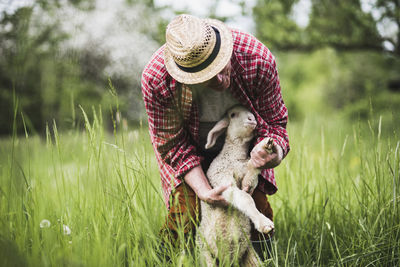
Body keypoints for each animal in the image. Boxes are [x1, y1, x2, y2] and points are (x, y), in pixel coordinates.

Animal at [196, 105, 276, 266]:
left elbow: (252, 170)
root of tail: (228, 262)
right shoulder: (221, 178)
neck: (235, 157)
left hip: (250, 256)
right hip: (206, 255)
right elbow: (245, 198)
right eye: (233, 115)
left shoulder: (247, 179)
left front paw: (265, 146)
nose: (252, 119)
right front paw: (264, 223)